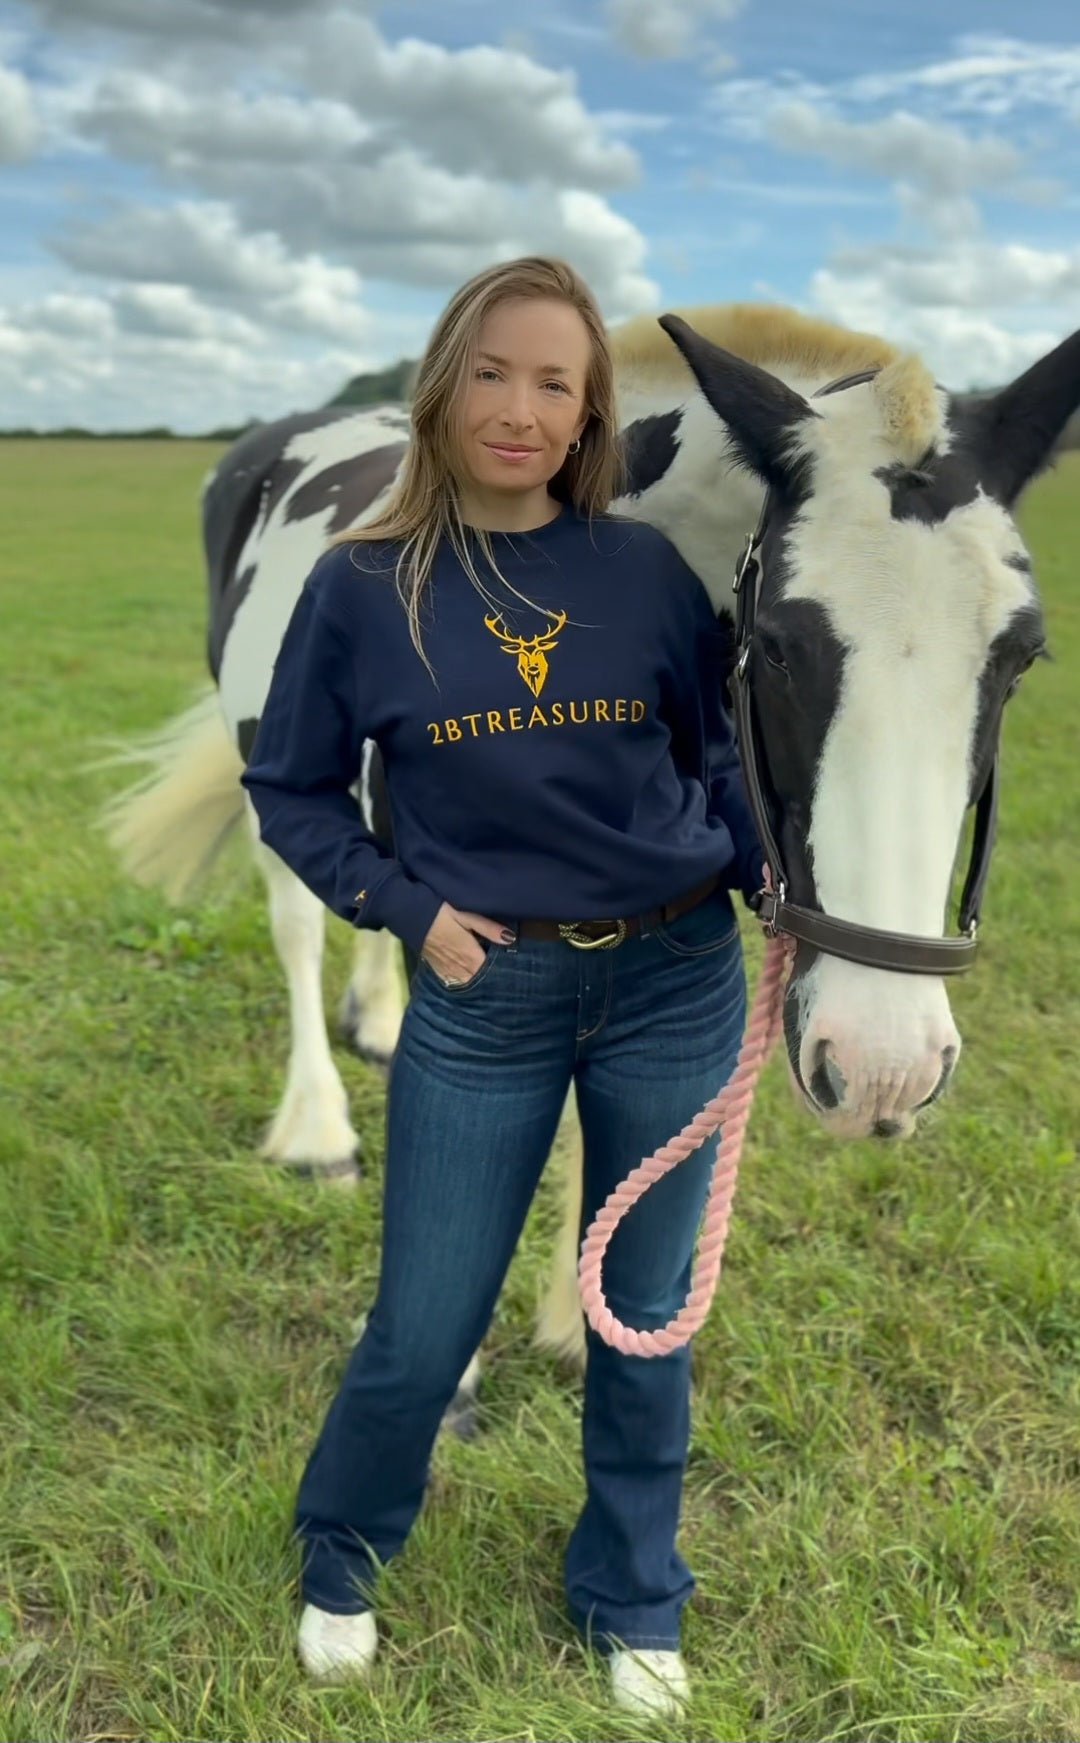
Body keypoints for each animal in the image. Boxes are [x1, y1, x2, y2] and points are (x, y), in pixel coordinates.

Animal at [104, 301, 1075, 1423]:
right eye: (777, 646)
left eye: (1021, 657)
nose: (886, 1066)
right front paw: (462, 1365)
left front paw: (580, 1320)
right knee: (299, 923)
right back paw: (316, 1130)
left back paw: (377, 1025)